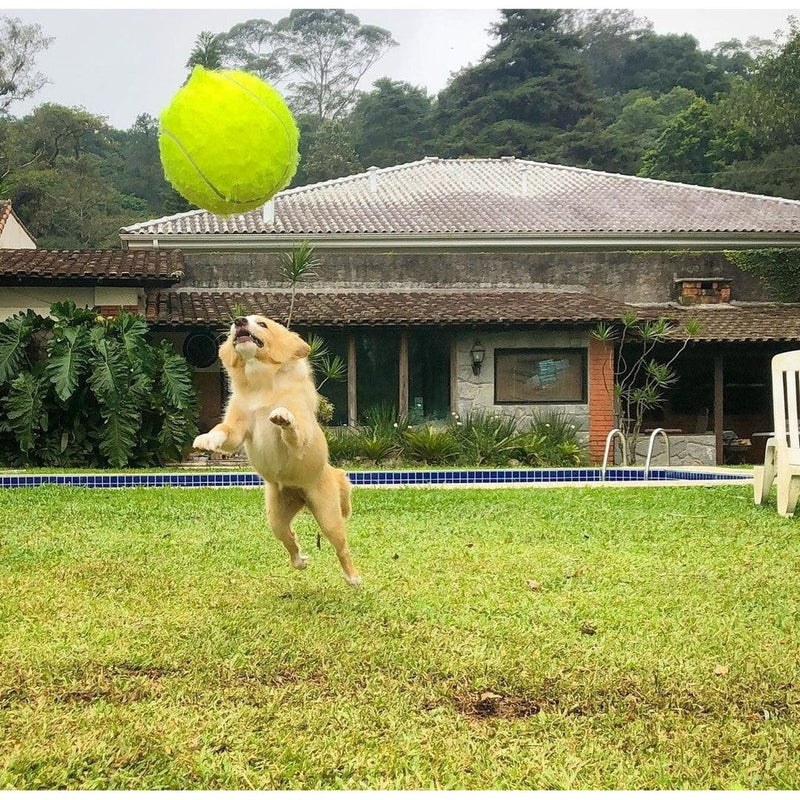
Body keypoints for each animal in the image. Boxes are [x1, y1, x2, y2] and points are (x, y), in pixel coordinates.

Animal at [191, 314, 360, 588]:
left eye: (262, 324)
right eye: (237, 323)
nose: (239, 321)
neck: (261, 383)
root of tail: (300, 495)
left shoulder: (299, 435)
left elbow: (292, 431)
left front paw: (283, 417)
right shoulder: (237, 429)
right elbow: (223, 430)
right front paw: (207, 439)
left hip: (328, 516)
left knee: (341, 546)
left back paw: (352, 577)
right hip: (276, 517)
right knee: (288, 536)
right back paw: (299, 560)